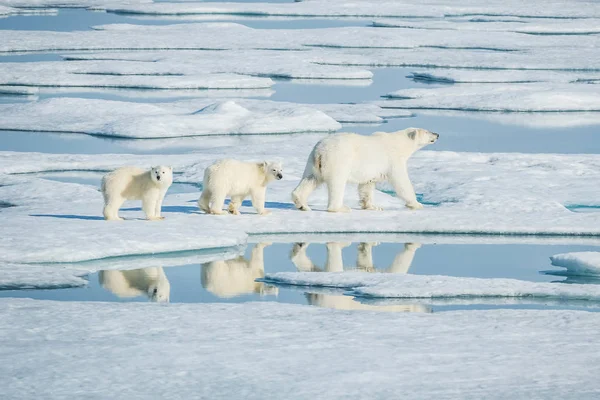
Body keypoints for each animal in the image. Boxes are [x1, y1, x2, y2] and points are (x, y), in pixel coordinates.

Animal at [292, 128, 438, 212]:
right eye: (427, 131)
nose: (437, 134)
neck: (400, 143)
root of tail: (320, 151)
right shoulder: (393, 159)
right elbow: (401, 181)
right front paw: (416, 204)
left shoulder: (371, 170)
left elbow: (367, 185)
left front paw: (373, 206)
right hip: (338, 160)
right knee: (337, 183)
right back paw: (341, 208)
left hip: (312, 162)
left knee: (310, 179)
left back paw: (302, 204)